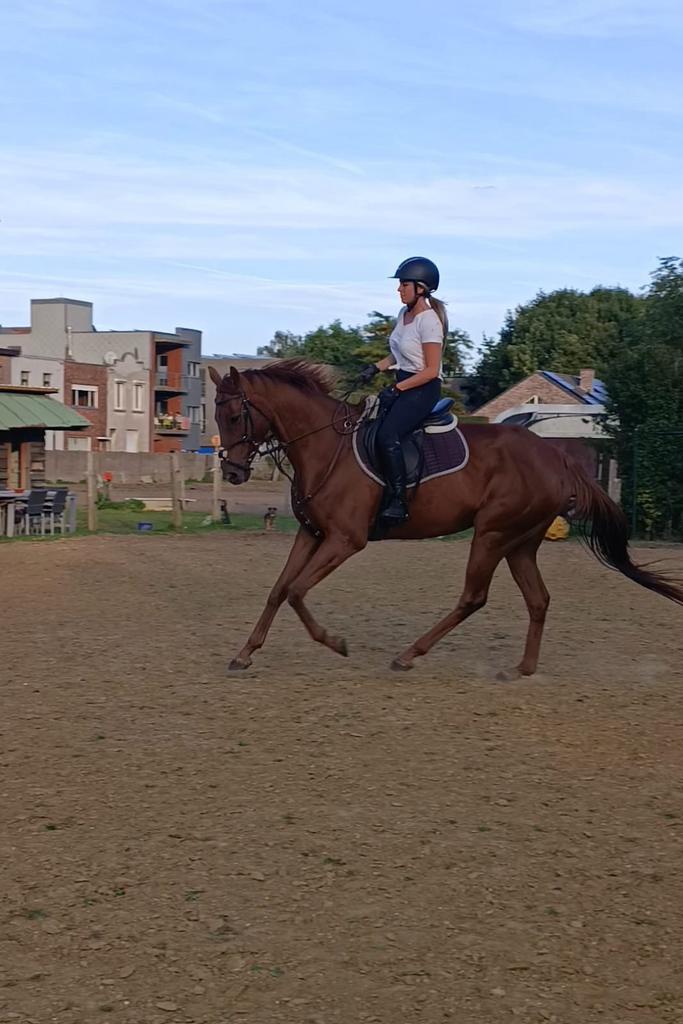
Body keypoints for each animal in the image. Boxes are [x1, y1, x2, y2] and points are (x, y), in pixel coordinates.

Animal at [209, 360, 683, 676]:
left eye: (233, 415)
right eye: (216, 416)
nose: (232, 473)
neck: (327, 447)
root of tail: (556, 457)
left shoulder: (344, 540)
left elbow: (296, 591)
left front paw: (336, 642)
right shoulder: (311, 534)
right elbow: (279, 590)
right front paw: (245, 653)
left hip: (491, 534)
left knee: (474, 597)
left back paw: (408, 655)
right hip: (520, 541)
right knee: (538, 599)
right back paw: (522, 669)